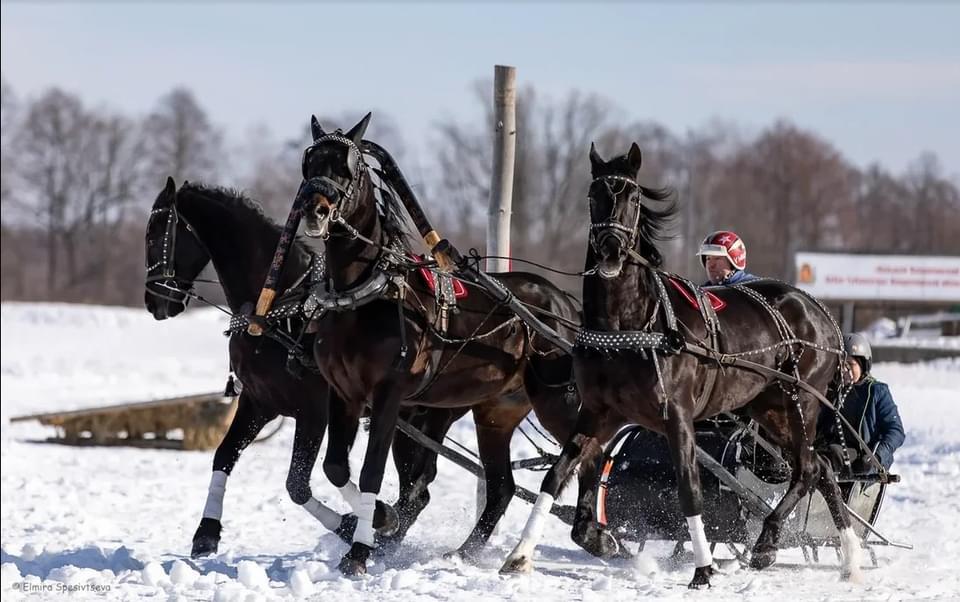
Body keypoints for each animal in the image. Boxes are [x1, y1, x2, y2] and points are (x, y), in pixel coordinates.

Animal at [142, 177, 398, 552]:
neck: (274, 312)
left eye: (154, 234)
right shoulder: (259, 402)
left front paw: (363, 520)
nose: (154, 302)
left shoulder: (314, 413)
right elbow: (224, 456)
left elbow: (298, 485)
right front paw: (206, 532)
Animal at [298, 115, 616, 576]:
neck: (366, 296)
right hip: (496, 412)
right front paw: (381, 519)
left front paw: (360, 549)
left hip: (558, 398)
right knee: (502, 485)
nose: (315, 209)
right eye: (309, 163)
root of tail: (565, 304)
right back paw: (468, 552)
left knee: (591, 452)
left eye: (347, 168)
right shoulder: (344, 393)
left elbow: (373, 471)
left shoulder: (389, 395)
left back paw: (589, 534)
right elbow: (336, 467)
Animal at [498, 142, 860, 584]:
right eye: (593, 194)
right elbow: (558, 475)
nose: (611, 248)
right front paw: (526, 553)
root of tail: (819, 311)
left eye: (634, 198)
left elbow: (689, 488)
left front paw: (703, 570)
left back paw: (770, 541)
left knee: (808, 468)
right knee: (821, 467)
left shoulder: (678, 415)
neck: (631, 324)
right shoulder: (598, 413)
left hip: (800, 401)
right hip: (769, 407)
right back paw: (848, 558)